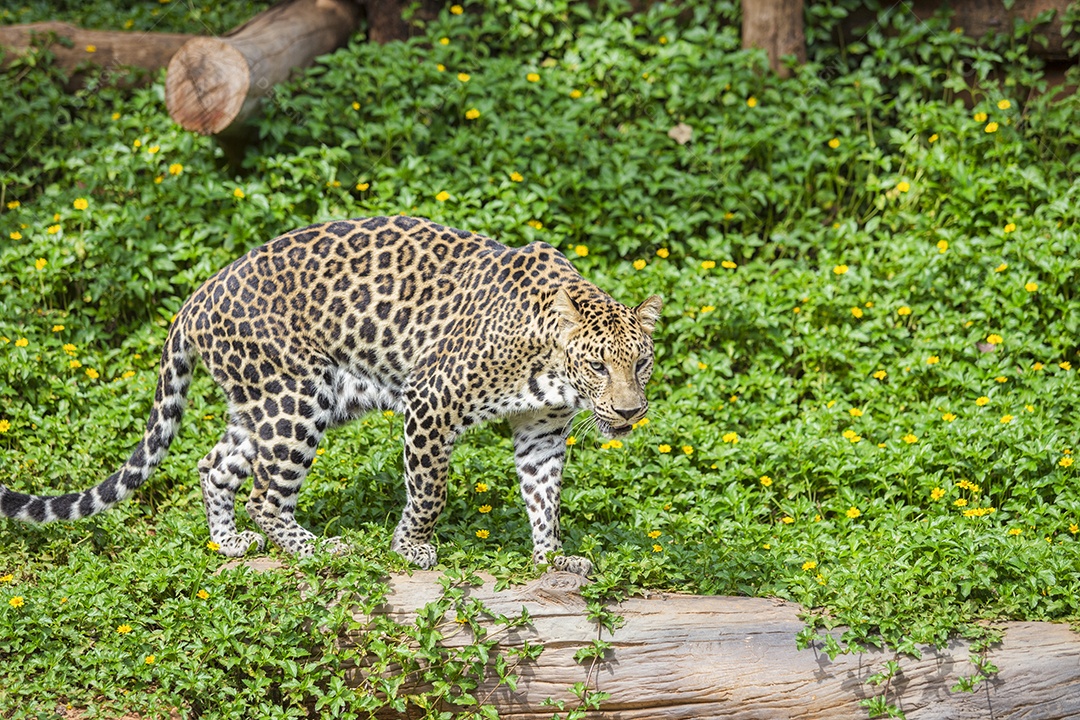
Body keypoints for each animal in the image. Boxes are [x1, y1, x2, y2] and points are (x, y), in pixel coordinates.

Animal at [0, 213, 660, 574]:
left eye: (642, 363)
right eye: (598, 365)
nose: (629, 412)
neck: (548, 363)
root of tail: (195, 297)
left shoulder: (541, 434)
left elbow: (545, 498)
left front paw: (551, 558)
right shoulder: (431, 400)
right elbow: (431, 489)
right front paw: (410, 547)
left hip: (266, 403)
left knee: (214, 464)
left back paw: (229, 542)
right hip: (296, 400)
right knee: (265, 493)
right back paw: (317, 551)